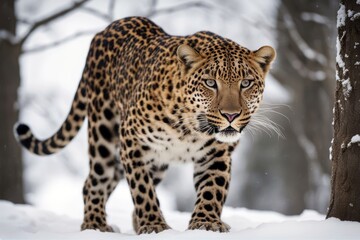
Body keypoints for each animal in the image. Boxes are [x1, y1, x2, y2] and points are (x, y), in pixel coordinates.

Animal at [14, 16, 276, 234]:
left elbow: (213, 188)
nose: (231, 115)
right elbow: (142, 189)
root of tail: (102, 31)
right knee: (94, 181)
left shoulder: (216, 153)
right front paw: (154, 226)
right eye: (210, 83)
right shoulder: (132, 142)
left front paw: (206, 224)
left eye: (246, 83)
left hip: (154, 160)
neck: (191, 128)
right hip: (104, 137)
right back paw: (95, 224)